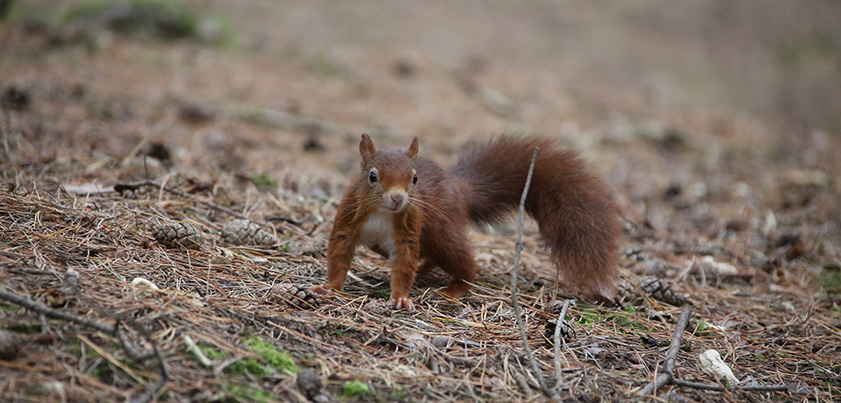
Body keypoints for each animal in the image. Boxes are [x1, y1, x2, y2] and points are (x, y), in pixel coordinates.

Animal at [312, 134, 620, 311]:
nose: (398, 199)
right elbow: (339, 254)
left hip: (441, 229)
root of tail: (460, 189)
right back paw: (425, 272)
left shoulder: (408, 229)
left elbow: (404, 263)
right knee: (429, 255)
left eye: (414, 178)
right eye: (372, 176)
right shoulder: (348, 221)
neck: (382, 212)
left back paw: (453, 289)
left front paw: (400, 297)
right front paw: (330, 288)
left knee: (465, 264)